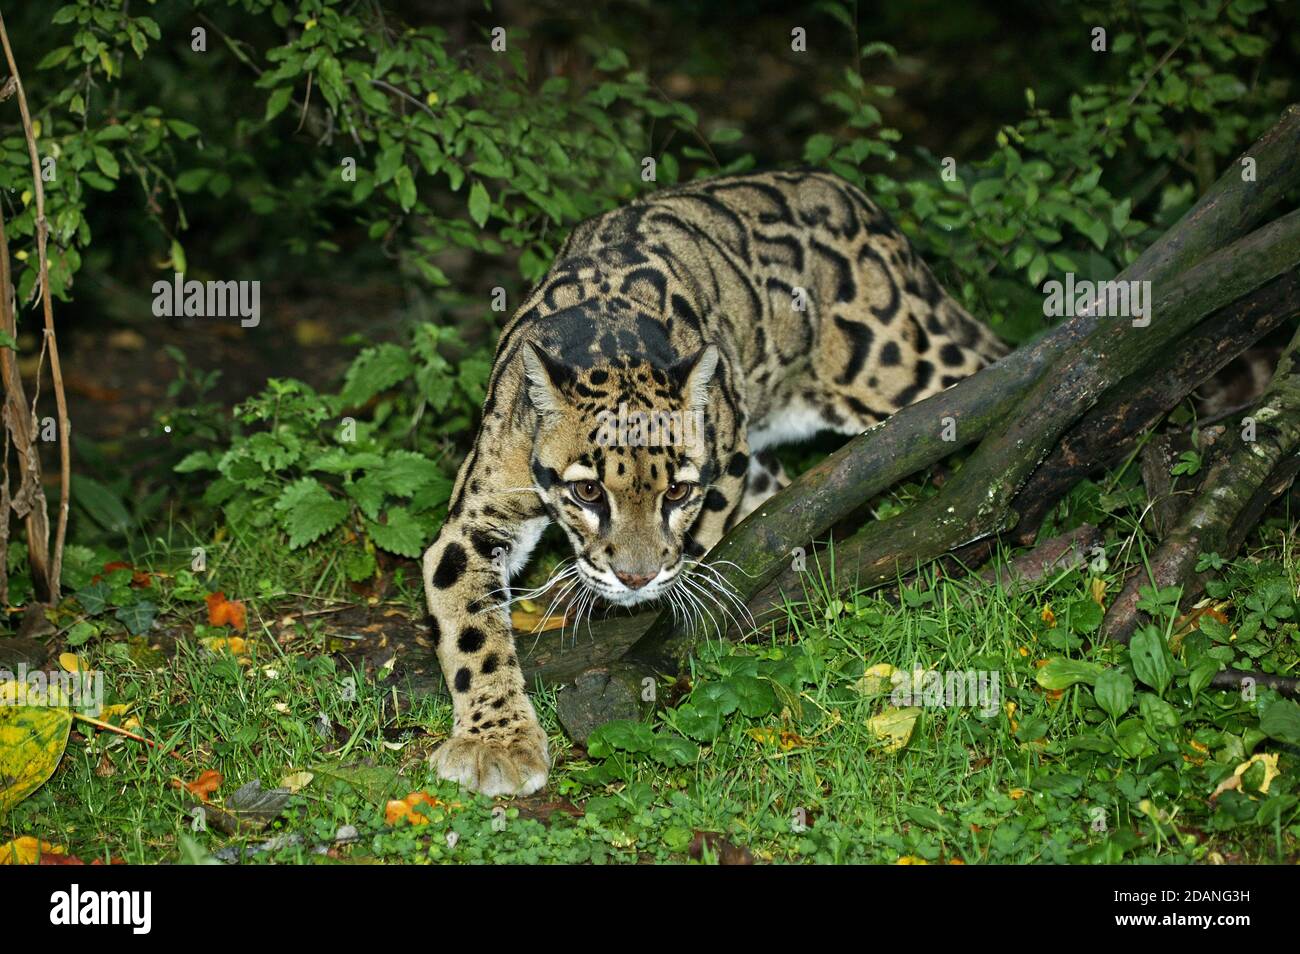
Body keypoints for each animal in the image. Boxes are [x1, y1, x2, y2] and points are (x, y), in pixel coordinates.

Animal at [421, 169, 1007, 796]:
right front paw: (497, 741)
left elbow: (697, 549)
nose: (635, 577)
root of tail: (855, 198)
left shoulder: (727, 466)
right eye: (588, 492)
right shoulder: (479, 512)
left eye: (677, 492)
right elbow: (471, 626)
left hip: (897, 366)